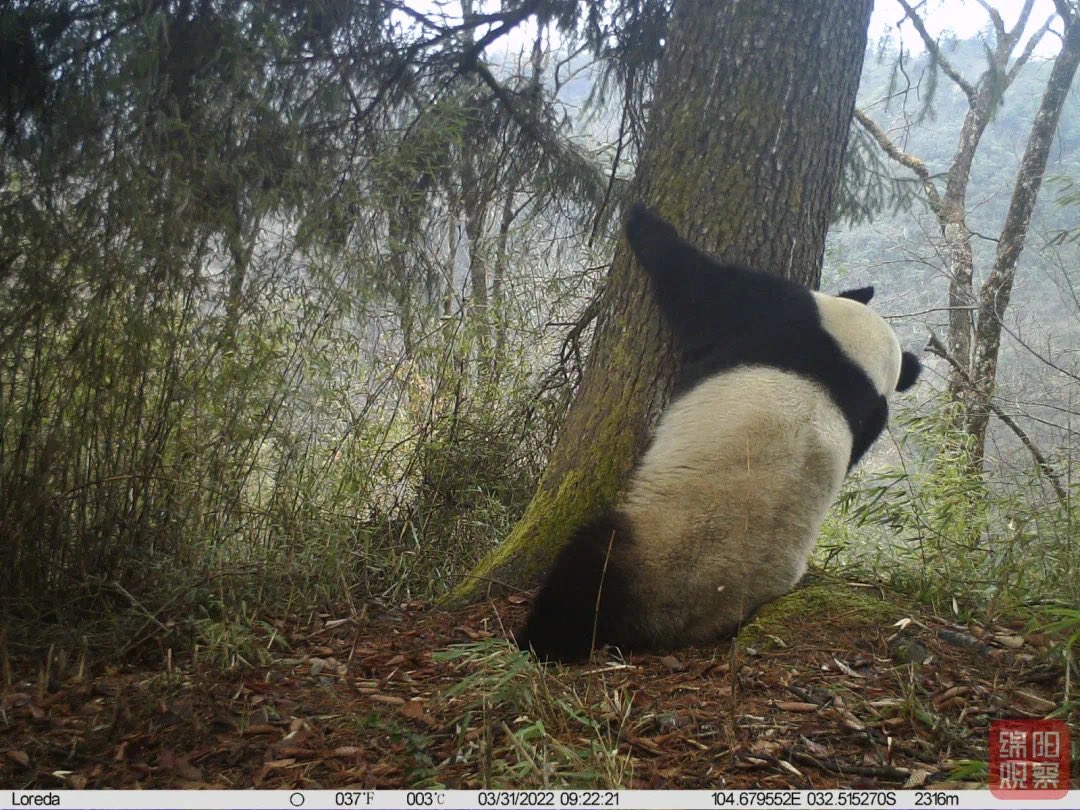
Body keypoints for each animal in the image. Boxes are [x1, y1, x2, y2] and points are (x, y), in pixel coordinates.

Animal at [516, 204, 922, 662]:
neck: (851, 362)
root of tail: (680, 623)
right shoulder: (868, 415)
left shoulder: (777, 318)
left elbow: (700, 287)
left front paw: (640, 216)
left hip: (649, 546)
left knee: (586, 578)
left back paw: (538, 641)